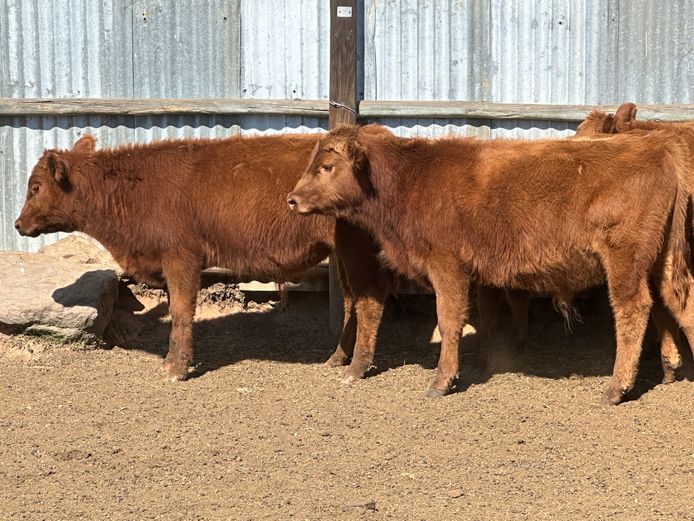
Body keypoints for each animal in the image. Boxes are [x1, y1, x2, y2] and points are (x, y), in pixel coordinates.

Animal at [13, 132, 392, 380]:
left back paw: (356, 368)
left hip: (355, 249)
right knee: (352, 303)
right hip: (343, 254)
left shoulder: (181, 257)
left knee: (369, 303)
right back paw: (337, 358)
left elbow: (182, 312)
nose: (17, 224)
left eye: (36, 187)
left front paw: (176, 368)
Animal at [288, 124, 692, 404]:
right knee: (680, 305)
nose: (292, 199)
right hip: (660, 262)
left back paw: (616, 388)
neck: (413, 180)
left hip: (625, 260)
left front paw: (442, 381)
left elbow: (449, 320)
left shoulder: (446, 265)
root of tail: (657, 146)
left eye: (327, 166)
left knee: (633, 309)